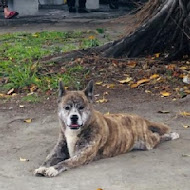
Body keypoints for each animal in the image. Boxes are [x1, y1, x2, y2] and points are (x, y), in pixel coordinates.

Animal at [34, 80, 180, 177]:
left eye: (81, 107)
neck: (75, 132)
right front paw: (42, 167)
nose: (74, 117)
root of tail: (140, 118)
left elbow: (66, 162)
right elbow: (48, 158)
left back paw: (172, 135)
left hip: (147, 142)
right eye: (67, 107)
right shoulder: (58, 151)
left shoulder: (81, 155)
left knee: (158, 137)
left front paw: (53, 169)